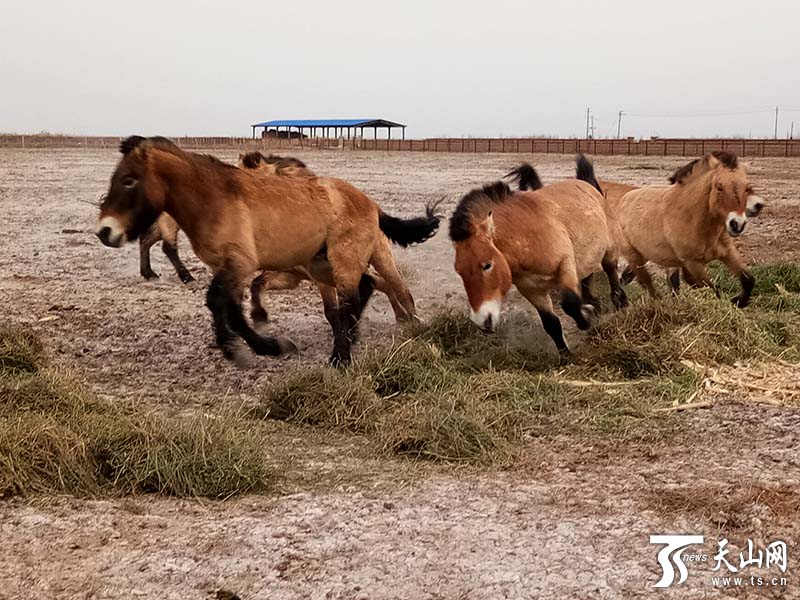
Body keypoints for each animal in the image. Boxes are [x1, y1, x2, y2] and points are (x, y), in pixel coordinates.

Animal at [97, 135, 440, 366]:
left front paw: (257, 346)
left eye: (128, 180)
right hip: (324, 266)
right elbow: (228, 307)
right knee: (364, 288)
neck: (214, 200)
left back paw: (344, 357)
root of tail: (369, 201)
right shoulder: (228, 268)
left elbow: (222, 303)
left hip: (350, 260)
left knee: (373, 294)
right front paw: (254, 346)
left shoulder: (241, 263)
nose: (105, 231)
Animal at [450, 156, 624, 356]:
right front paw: (566, 356)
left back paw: (621, 303)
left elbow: (570, 304)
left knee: (612, 274)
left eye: (487, 265)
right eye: (459, 272)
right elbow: (551, 324)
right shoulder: (532, 290)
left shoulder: (565, 266)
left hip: (608, 252)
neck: (528, 237)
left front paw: (586, 316)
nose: (482, 321)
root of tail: (588, 185)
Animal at [612, 149, 756, 308]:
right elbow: (712, 290)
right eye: (719, 187)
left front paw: (738, 301)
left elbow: (748, 280)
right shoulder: (692, 263)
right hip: (635, 258)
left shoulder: (728, 253)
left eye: (747, 188)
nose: (737, 224)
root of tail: (622, 200)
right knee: (646, 283)